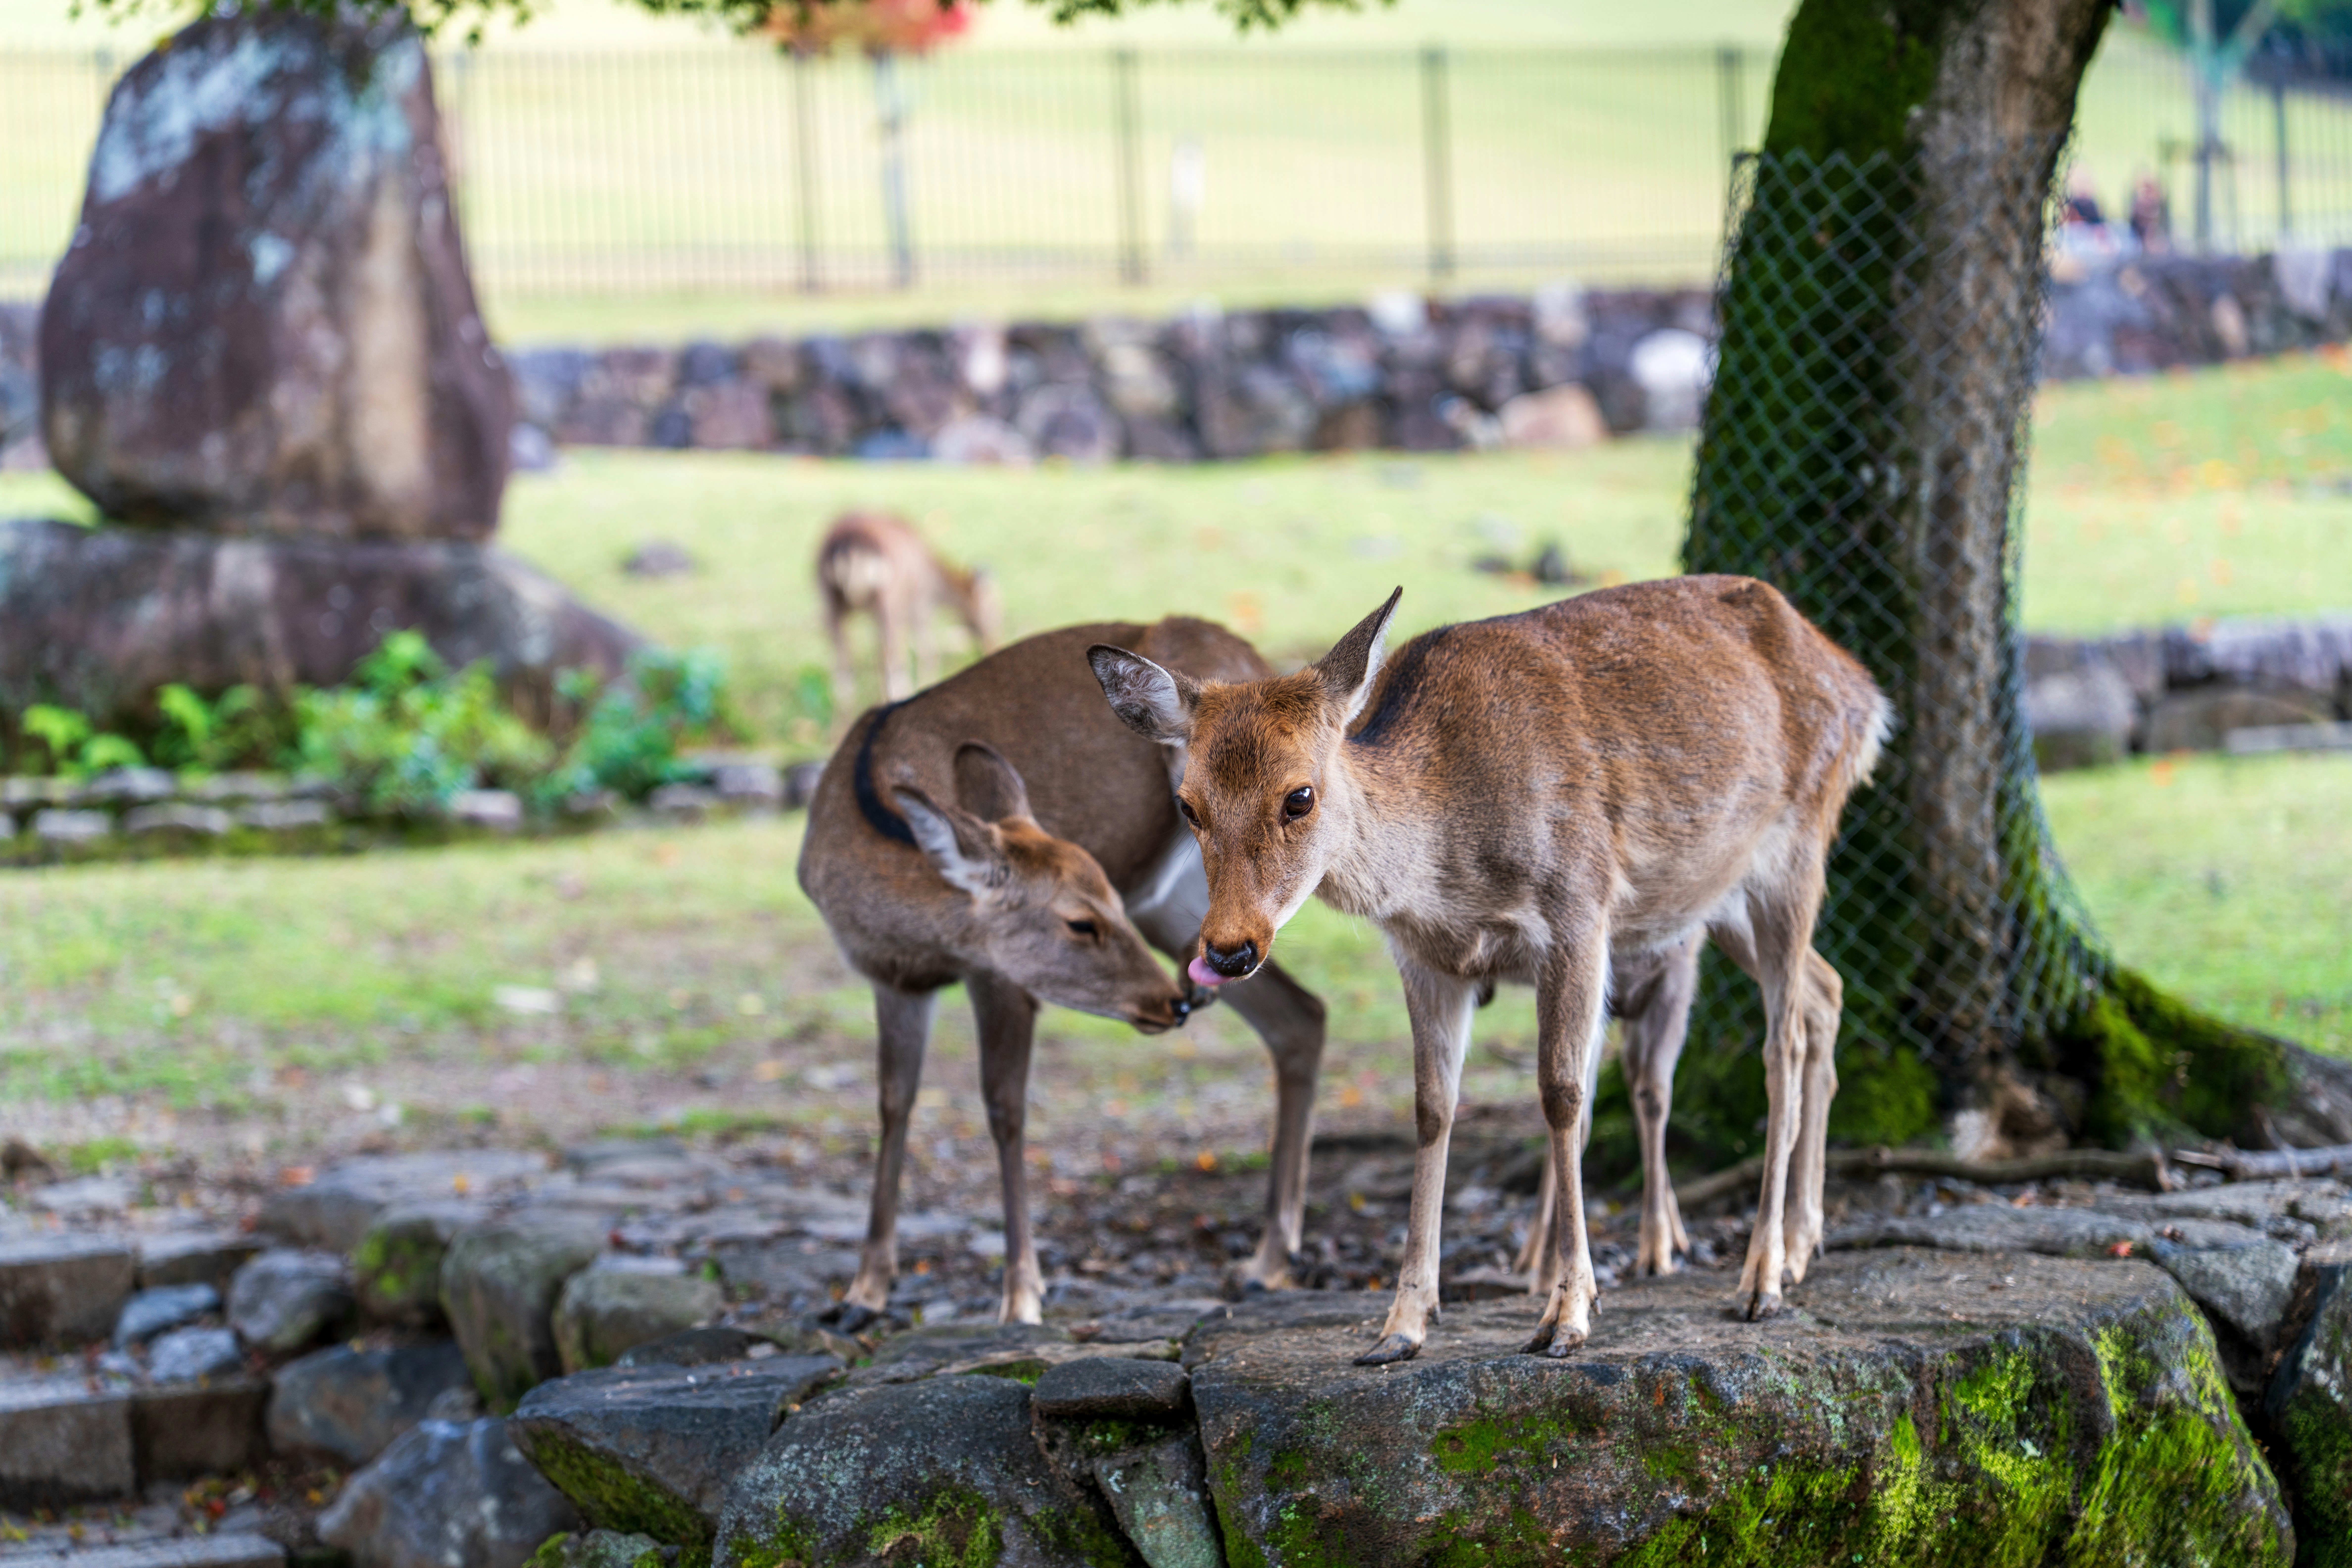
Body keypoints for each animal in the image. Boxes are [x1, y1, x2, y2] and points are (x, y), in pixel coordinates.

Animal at [797, 617, 1328, 1329]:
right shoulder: (890, 979)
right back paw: (1270, 1260)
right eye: (1081, 922)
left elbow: (1005, 1107)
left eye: (1105, 895)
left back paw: (1271, 1257)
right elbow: (892, 1103)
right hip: (1182, 914)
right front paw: (864, 1292)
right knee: (1301, 1015)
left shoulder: (1001, 978)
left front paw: (1022, 1294)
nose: (1173, 1005)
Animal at [818, 511, 1003, 720]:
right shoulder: (919, 605)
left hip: (829, 600)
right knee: (890, 658)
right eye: (996, 615)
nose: (993, 647)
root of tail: (851, 543)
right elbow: (927, 650)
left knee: (844, 666)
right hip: (889, 600)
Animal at [1089, 576, 1888, 1364]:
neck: (1450, 865)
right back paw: (1803, 1245)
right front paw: (1402, 1324)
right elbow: (1432, 1107)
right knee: (1825, 990)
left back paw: (1761, 1278)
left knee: (1781, 1040)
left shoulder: (1580, 909)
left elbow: (1563, 1095)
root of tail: (1863, 688)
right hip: (1711, 899)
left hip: (1798, 845)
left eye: (1299, 796)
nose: (1228, 949)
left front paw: (1567, 1314)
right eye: (1186, 805)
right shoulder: (1424, 959)